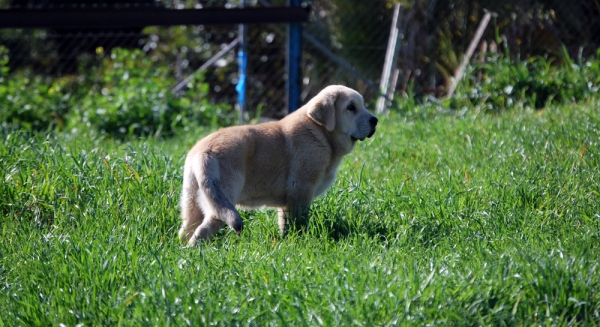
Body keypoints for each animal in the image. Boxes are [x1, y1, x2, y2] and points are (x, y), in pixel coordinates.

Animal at [176, 84, 378, 246]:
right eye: (351, 108)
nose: (375, 120)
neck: (320, 133)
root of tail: (203, 151)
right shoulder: (300, 191)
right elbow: (299, 222)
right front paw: (300, 240)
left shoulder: (287, 202)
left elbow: (285, 224)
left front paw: (286, 240)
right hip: (222, 202)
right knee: (201, 232)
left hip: (192, 200)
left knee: (185, 230)